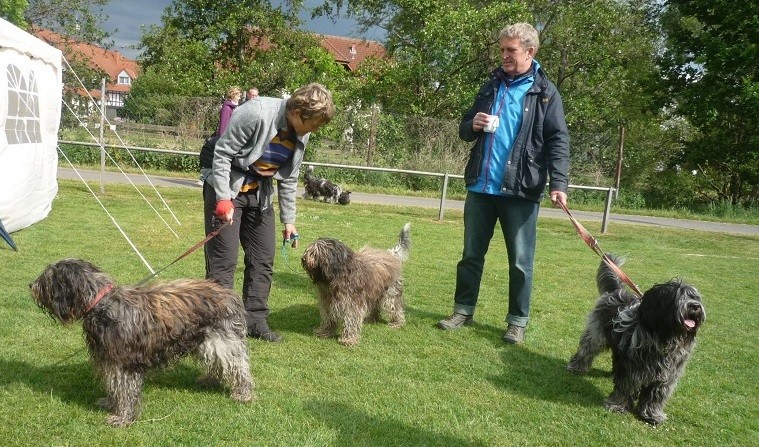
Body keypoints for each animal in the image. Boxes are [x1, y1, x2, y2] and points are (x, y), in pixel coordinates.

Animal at [29, 260, 255, 428]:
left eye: (48, 278)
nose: (31, 285)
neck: (100, 303)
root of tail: (230, 294)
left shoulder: (123, 363)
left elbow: (124, 390)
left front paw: (122, 417)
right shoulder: (109, 360)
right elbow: (113, 386)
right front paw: (110, 403)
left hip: (223, 341)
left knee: (239, 368)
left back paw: (243, 394)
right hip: (205, 341)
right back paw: (210, 380)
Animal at [564, 254, 708, 426]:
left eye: (694, 296)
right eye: (677, 296)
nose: (695, 306)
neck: (664, 337)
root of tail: (616, 291)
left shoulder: (666, 376)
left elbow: (655, 397)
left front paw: (652, 415)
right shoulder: (632, 369)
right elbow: (625, 386)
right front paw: (617, 405)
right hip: (595, 335)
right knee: (586, 351)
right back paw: (576, 367)